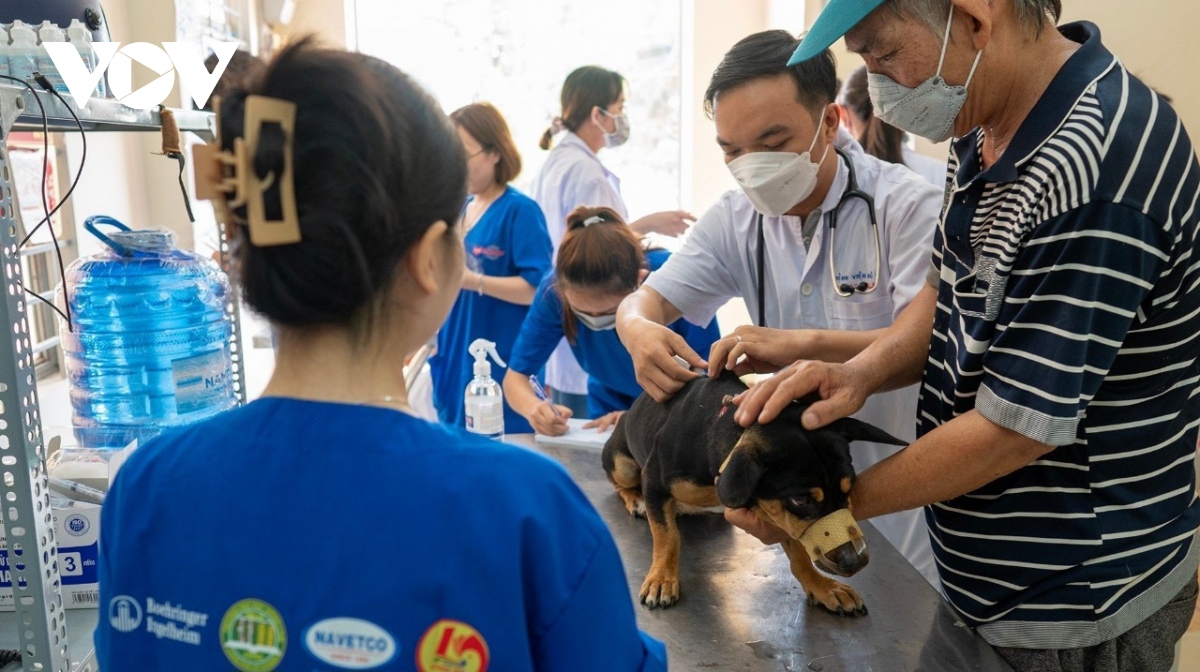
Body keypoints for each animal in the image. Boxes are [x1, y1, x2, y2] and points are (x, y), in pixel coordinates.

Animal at [604, 372, 902, 614]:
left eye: (849, 487)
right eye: (800, 499)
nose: (855, 561)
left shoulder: (781, 517)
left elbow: (799, 552)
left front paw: (822, 587)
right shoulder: (654, 482)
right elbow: (667, 538)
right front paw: (662, 579)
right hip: (623, 464)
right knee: (619, 484)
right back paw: (635, 499)